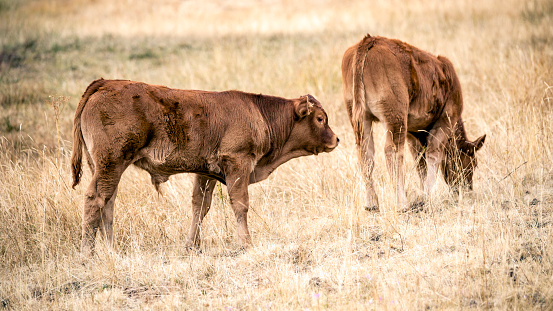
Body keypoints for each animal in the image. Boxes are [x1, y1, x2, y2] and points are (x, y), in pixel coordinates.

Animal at [69, 78, 336, 256]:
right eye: (320, 118)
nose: (336, 139)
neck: (259, 113)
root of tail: (105, 84)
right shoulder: (237, 163)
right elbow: (240, 205)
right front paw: (247, 244)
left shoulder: (206, 172)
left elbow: (200, 207)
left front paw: (191, 245)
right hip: (111, 163)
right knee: (95, 199)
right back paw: (87, 254)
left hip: (105, 167)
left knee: (108, 202)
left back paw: (113, 250)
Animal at [340, 35, 484, 213]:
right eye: (472, 164)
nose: (467, 190)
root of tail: (368, 41)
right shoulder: (445, 120)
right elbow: (433, 155)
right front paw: (427, 197)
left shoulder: (412, 132)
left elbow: (420, 163)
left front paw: (422, 195)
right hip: (395, 117)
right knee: (392, 151)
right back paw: (402, 205)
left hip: (360, 117)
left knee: (366, 152)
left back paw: (371, 204)